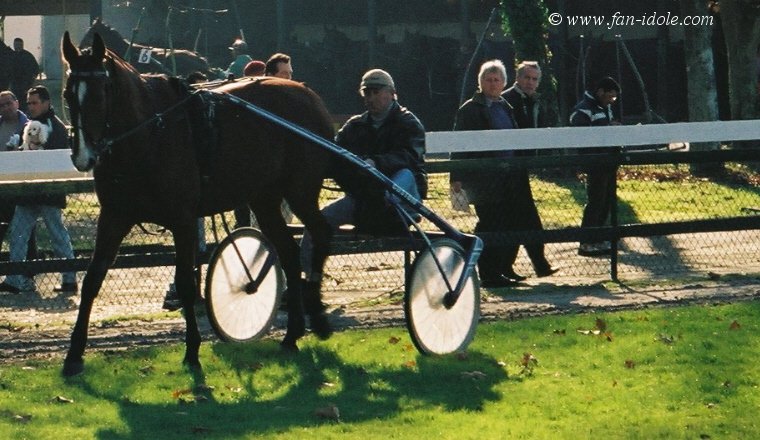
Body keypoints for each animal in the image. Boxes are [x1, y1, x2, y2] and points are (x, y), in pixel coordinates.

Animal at [59, 31, 332, 374]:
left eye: (101, 92)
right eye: (69, 93)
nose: (83, 156)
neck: (150, 135)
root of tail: (308, 94)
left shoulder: (183, 219)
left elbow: (186, 283)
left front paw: (191, 351)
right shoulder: (113, 216)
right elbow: (93, 278)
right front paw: (73, 355)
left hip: (300, 190)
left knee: (320, 233)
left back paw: (317, 315)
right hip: (264, 198)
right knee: (289, 253)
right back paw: (292, 334)